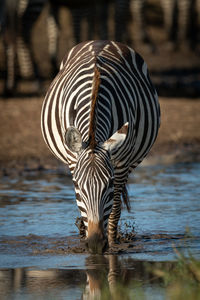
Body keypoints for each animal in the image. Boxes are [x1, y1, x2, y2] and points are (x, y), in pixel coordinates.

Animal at [41, 39, 161, 253]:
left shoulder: (121, 163)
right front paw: (84, 235)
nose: (96, 244)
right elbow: (82, 208)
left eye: (109, 184)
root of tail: (101, 41)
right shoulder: (73, 160)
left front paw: (112, 246)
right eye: (78, 186)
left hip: (133, 159)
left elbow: (115, 210)